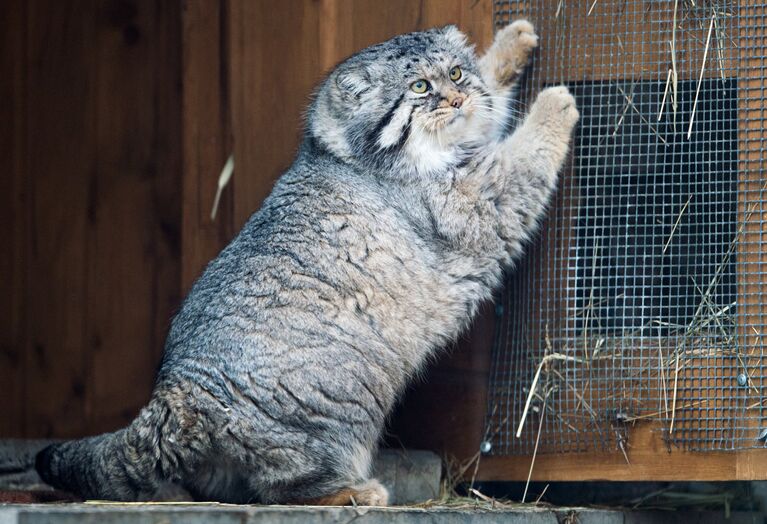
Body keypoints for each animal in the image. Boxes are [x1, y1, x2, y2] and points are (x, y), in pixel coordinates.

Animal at [36, 22, 576, 506]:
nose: (458, 99)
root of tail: (179, 392)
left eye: (458, 74)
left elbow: (494, 110)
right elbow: (523, 157)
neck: (352, 156)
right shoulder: (480, 203)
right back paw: (354, 493)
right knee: (283, 490)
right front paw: (554, 104)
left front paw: (509, 45)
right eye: (421, 88)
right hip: (340, 411)